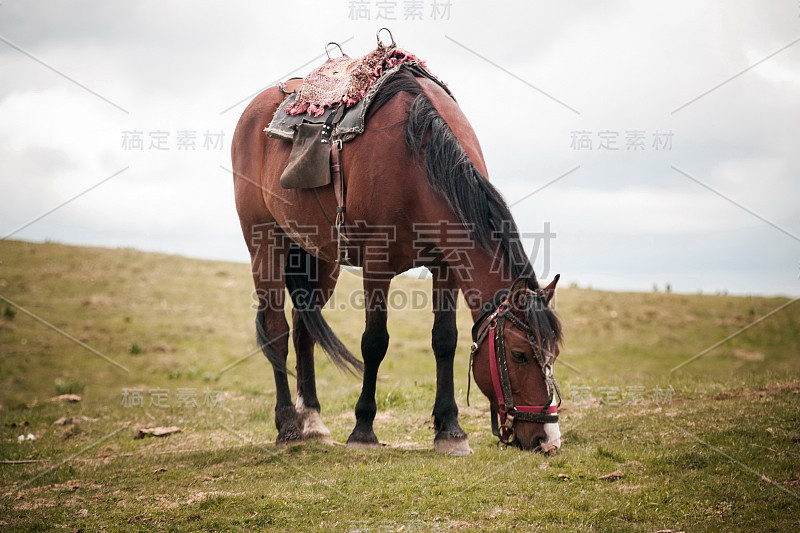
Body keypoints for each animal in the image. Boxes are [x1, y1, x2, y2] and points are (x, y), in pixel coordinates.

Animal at [231, 60, 564, 454]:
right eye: (519, 354)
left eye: (553, 354)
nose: (547, 438)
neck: (419, 160)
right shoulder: (377, 264)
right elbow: (374, 342)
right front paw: (363, 429)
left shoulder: (446, 267)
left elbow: (444, 340)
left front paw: (450, 429)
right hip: (265, 243)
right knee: (276, 331)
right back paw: (287, 426)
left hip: (320, 257)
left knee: (303, 332)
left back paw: (312, 421)